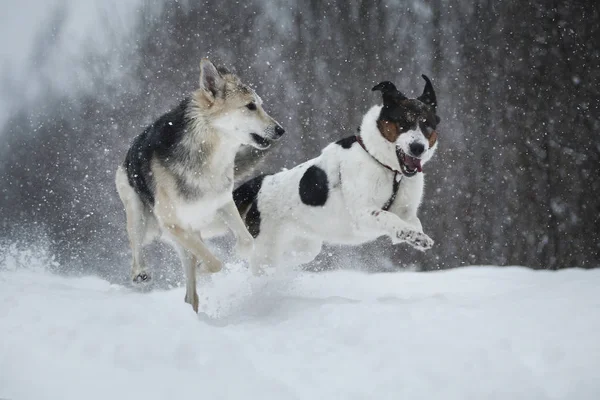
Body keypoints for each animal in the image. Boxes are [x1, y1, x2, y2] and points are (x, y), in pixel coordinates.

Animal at [234, 76, 440, 274]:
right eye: (403, 123)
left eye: (427, 126)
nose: (418, 148)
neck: (389, 169)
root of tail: (261, 182)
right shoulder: (363, 213)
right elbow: (389, 217)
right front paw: (413, 235)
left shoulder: (406, 213)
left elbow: (411, 224)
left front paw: (417, 237)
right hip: (266, 252)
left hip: (305, 247)